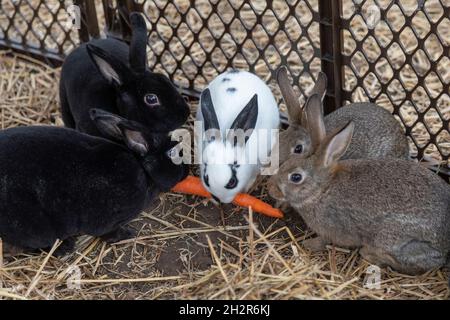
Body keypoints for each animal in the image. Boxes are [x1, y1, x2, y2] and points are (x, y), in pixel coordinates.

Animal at [0, 110, 187, 255]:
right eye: (172, 153)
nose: (187, 170)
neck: (143, 170)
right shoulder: (107, 222)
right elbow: (107, 233)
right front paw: (127, 234)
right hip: (37, 228)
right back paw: (65, 248)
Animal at [268, 94, 448, 276]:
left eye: (296, 177)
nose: (270, 188)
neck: (321, 190)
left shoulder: (332, 229)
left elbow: (324, 241)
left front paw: (308, 245)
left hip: (391, 239)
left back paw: (367, 254)